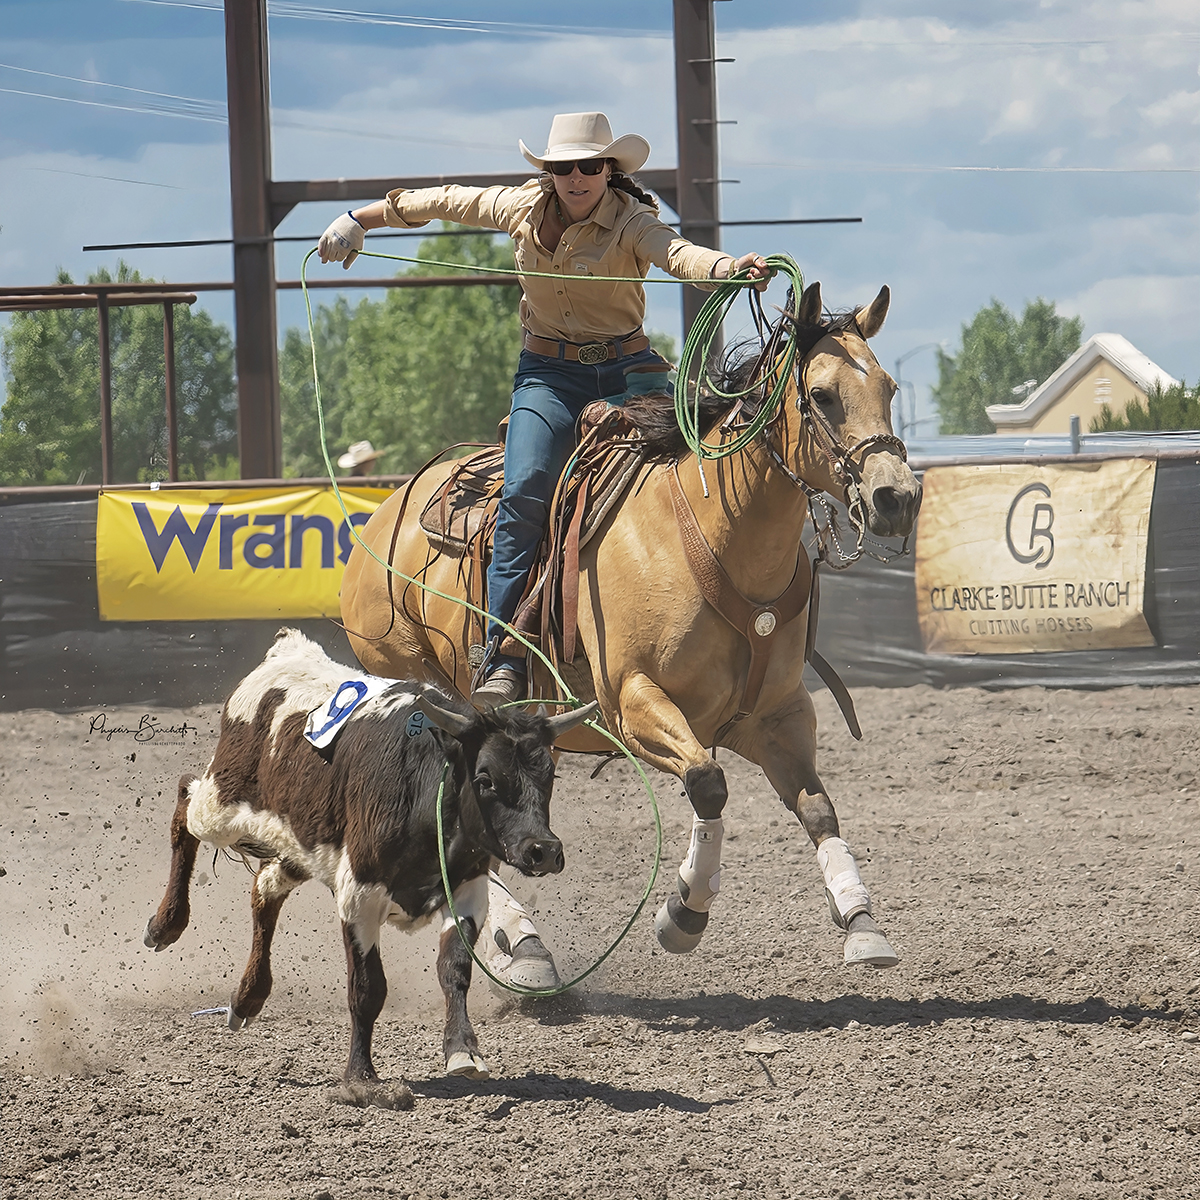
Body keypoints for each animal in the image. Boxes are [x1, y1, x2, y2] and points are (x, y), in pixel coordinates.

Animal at [142, 628, 592, 1099]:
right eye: (485, 778)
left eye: (549, 776)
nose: (544, 850)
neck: (423, 791)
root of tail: (287, 651)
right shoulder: (359, 896)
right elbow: (367, 988)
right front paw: (361, 1079)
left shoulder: (467, 891)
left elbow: (454, 970)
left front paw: (462, 1051)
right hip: (222, 804)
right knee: (184, 801)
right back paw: (166, 924)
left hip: (302, 844)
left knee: (265, 889)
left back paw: (248, 996)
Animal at [343, 283, 921, 974]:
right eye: (822, 395)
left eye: (890, 387)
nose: (897, 499)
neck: (715, 536)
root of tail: (380, 520)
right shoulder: (632, 702)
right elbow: (707, 783)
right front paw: (684, 913)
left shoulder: (775, 714)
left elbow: (816, 806)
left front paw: (861, 922)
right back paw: (523, 941)